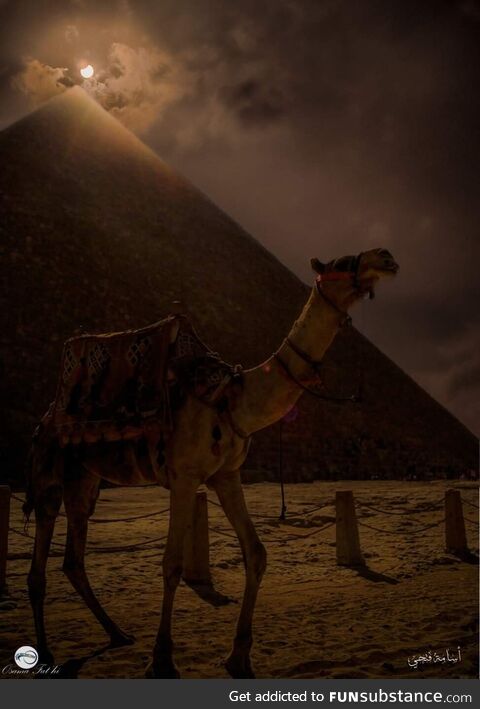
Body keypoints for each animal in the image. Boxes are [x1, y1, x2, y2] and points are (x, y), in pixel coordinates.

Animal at [23, 248, 398, 676]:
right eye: (343, 261)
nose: (385, 258)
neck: (232, 400)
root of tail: (46, 417)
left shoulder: (227, 476)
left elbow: (256, 553)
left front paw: (239, 654)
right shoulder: (184, 477)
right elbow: (171, 564)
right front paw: (162, 659)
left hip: (84, 479)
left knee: (73, 558)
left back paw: (117, 634)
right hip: (48, 469)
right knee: (40, 561)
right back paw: (45, 653)